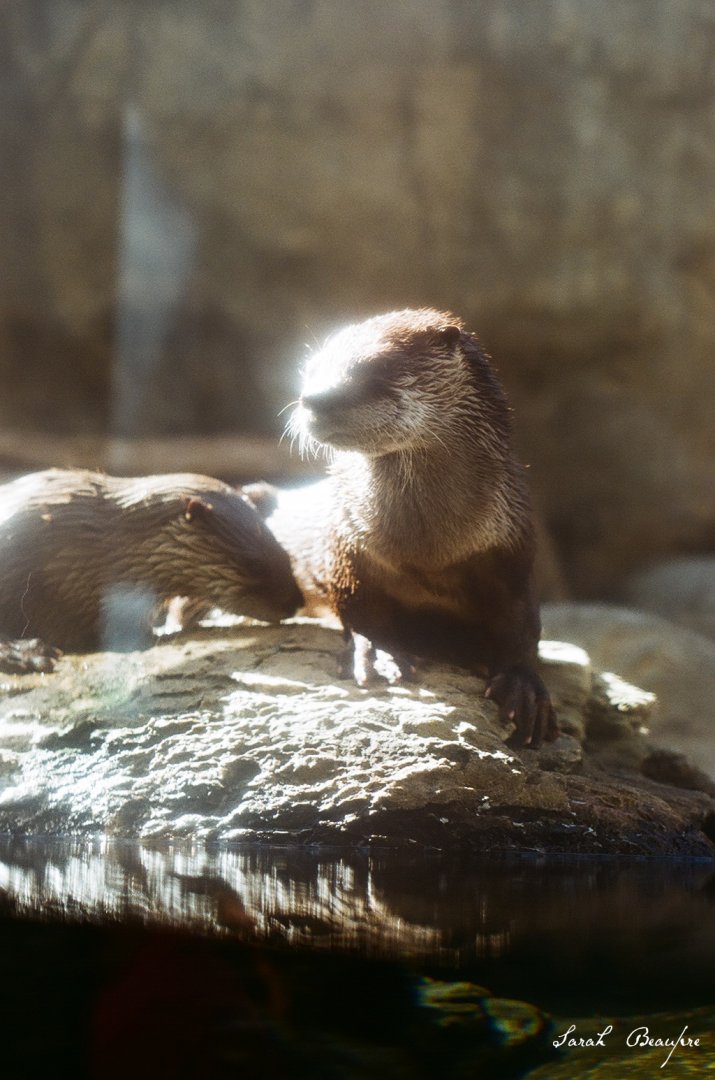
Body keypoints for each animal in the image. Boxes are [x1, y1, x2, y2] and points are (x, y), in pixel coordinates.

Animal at [267, 308, 557, 748]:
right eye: (311, 369)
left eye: (379, 366)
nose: (315, 397)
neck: (425, 552)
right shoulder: (347, 547)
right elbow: (359, 609)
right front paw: (379, 653)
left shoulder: (511, 548)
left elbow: (522, 621)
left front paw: (523, 687)